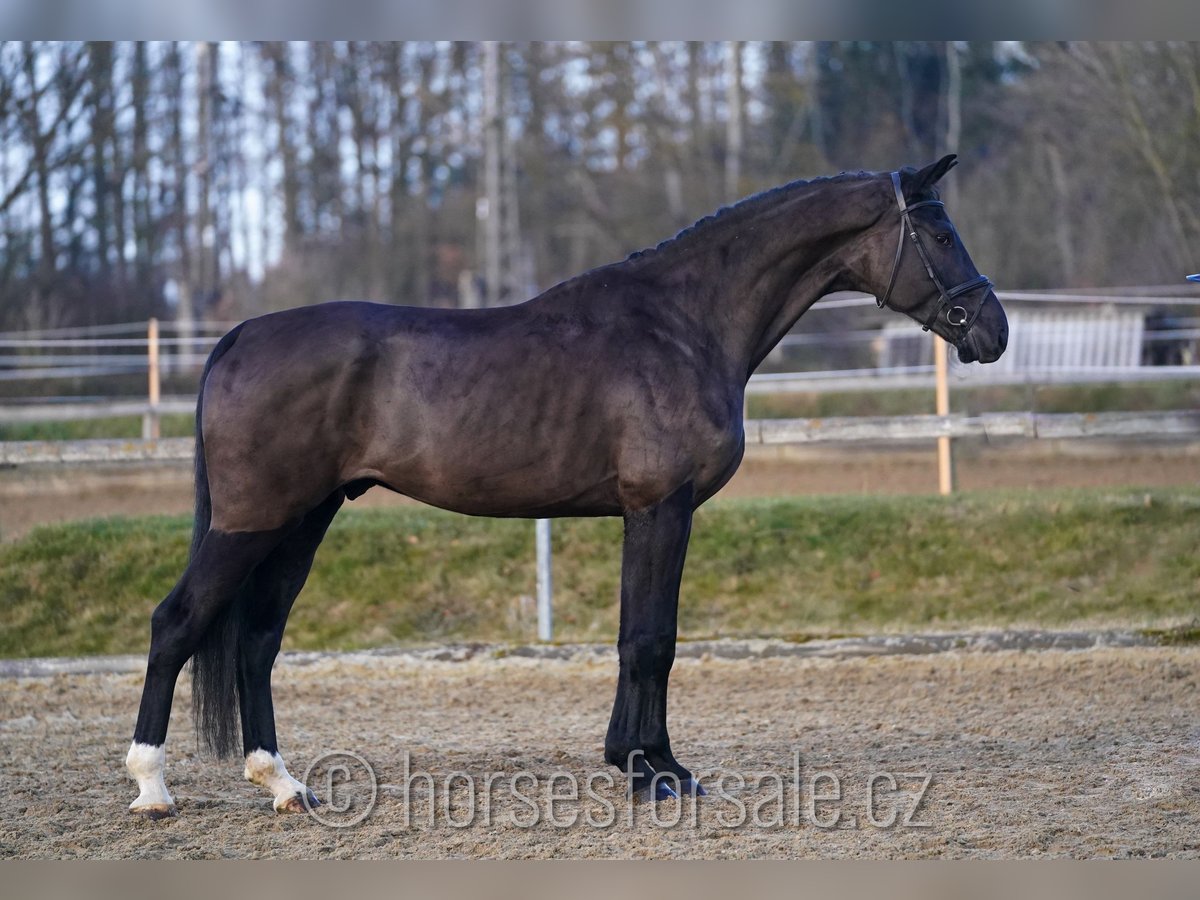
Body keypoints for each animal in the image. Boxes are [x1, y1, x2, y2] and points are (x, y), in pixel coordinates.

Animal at [124, 154, 1003, 816]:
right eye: (939, 230)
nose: (992, 330)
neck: (682, 325)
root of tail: (240, 336)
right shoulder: (660, 507)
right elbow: (650, 641)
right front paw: (655, 775)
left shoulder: (646, 513)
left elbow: (639, 636)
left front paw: (646, 762)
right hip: (251, 522)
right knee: (177, 622)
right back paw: (153, 787)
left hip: (302, 521)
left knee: (257, 639)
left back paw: (283, 783)